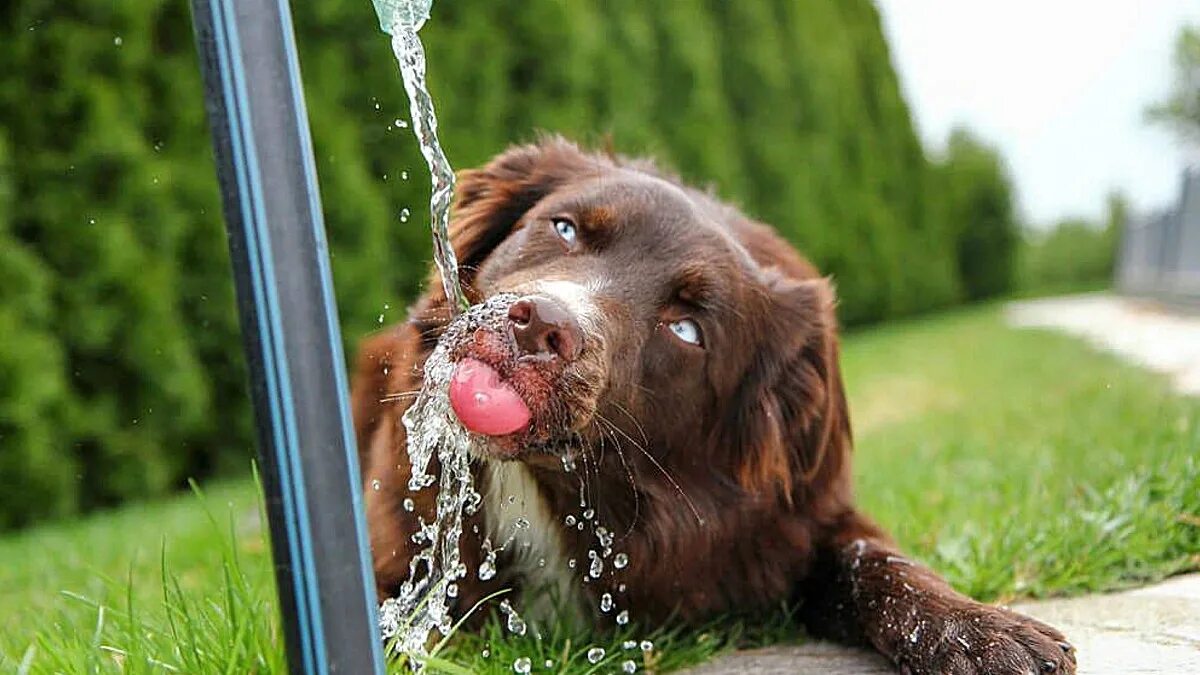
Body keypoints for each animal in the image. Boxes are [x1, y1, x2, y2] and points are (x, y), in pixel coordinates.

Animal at [355, 138, 1080, 672]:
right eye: (562, 228)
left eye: (687, 329)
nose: (542, 328)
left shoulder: (802, 518)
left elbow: (880, 564)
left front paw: (983, 631)